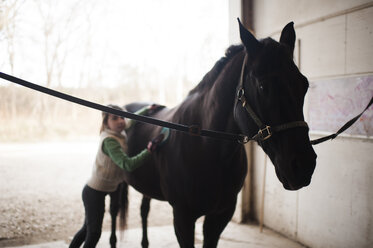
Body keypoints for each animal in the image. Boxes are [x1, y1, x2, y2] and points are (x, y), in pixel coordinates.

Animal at [112, 19, 314, 248]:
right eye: (263, 86)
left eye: (304, 84)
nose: (304, 165)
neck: (206, 148)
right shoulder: (183, 218)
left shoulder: (219, 216)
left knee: (144, 210)